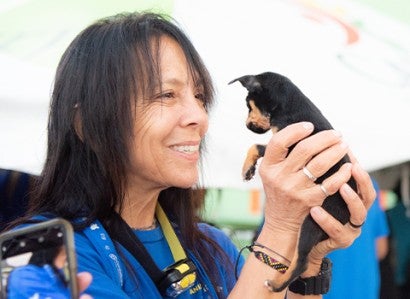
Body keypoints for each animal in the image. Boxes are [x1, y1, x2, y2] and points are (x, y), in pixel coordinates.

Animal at [229, 72, 358, 292]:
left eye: (248, 106)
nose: (247, 125)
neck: (286, 104)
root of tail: (348, 213)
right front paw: (249, 168)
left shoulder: (286, 147)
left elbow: (257, 146)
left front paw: (247, 167)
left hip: (312, 221)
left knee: (302, 262)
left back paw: (276, 284)